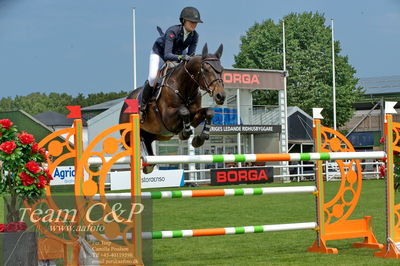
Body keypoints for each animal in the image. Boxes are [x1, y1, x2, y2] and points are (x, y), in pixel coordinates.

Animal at [119, 43, 225, 175]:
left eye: (221, 69)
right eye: (206, 69)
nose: (221, 96)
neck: (184, 88)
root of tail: (126, 101)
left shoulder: (195, 116)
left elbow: (209, 112)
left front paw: (199, 139)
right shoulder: (167, 118)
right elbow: (183, 111)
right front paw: (184, 133)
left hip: (151, 134)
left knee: (147, 146)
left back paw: (147, 165)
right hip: (128, 133)